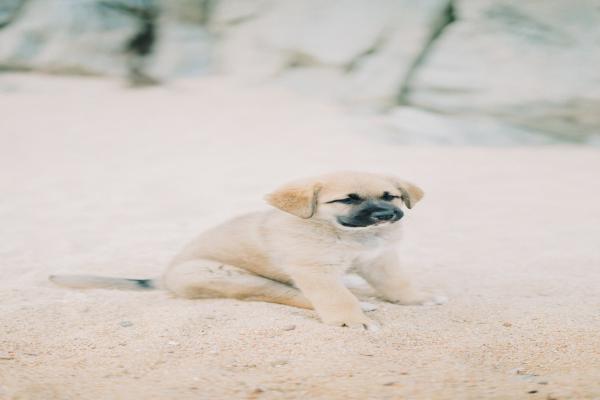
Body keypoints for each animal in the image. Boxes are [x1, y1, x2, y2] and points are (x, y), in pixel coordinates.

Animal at [51, 170, 442, 330]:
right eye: (347, 199)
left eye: (391, 196)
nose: (385, 215)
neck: (345, 234)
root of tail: (162, 277)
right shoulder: (314, 270)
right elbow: (334, 298)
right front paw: (352, 318)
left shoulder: (380, 261)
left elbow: (397, 284)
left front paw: (418, 298)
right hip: (234, 278)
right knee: (286, 294)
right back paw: (360, 301)